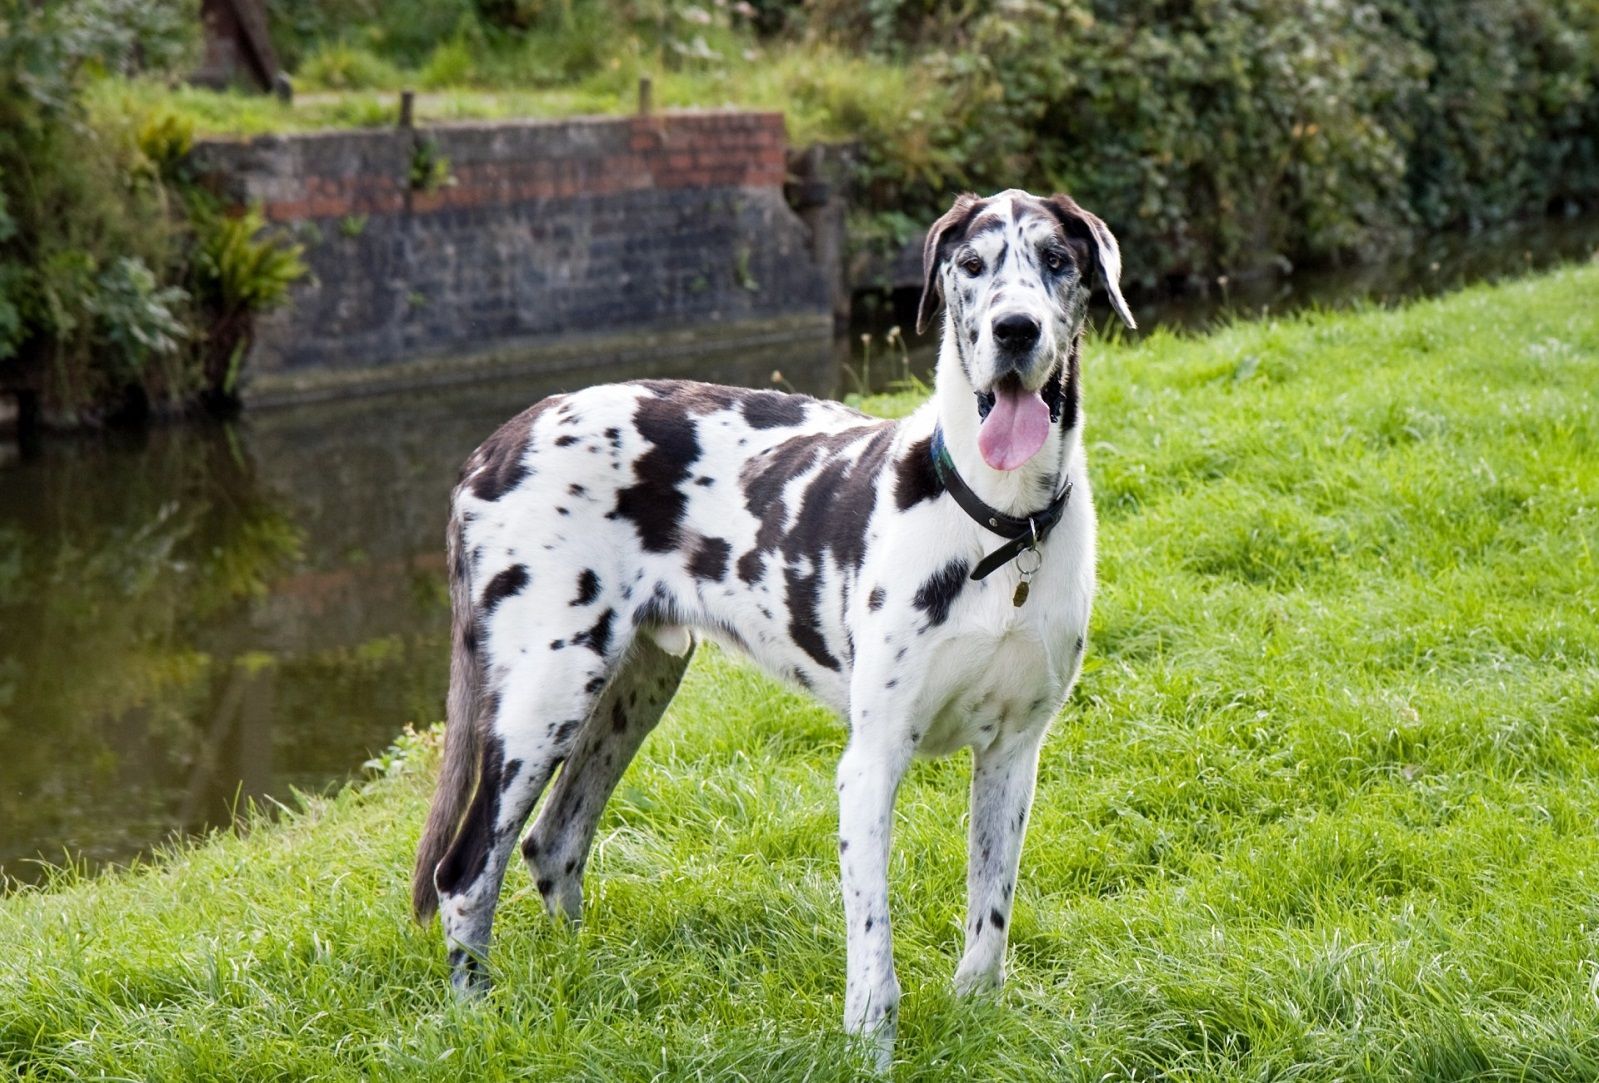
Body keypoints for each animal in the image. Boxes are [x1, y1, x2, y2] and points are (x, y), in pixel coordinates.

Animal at [412, 190, 1138, 1062]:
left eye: (1055, 261)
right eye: (972, 265)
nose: (1015, 329)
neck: (999, 523)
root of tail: (498, 441)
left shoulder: (1012, 756)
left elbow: (987, 927)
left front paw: (978, 1024)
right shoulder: (870, 764)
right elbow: (874, 959)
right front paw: (871, 1054)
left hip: (632, 690)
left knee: (553, 843)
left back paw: (581, 984)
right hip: (542, 698)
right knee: (465, 875)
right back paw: (474, 1020)